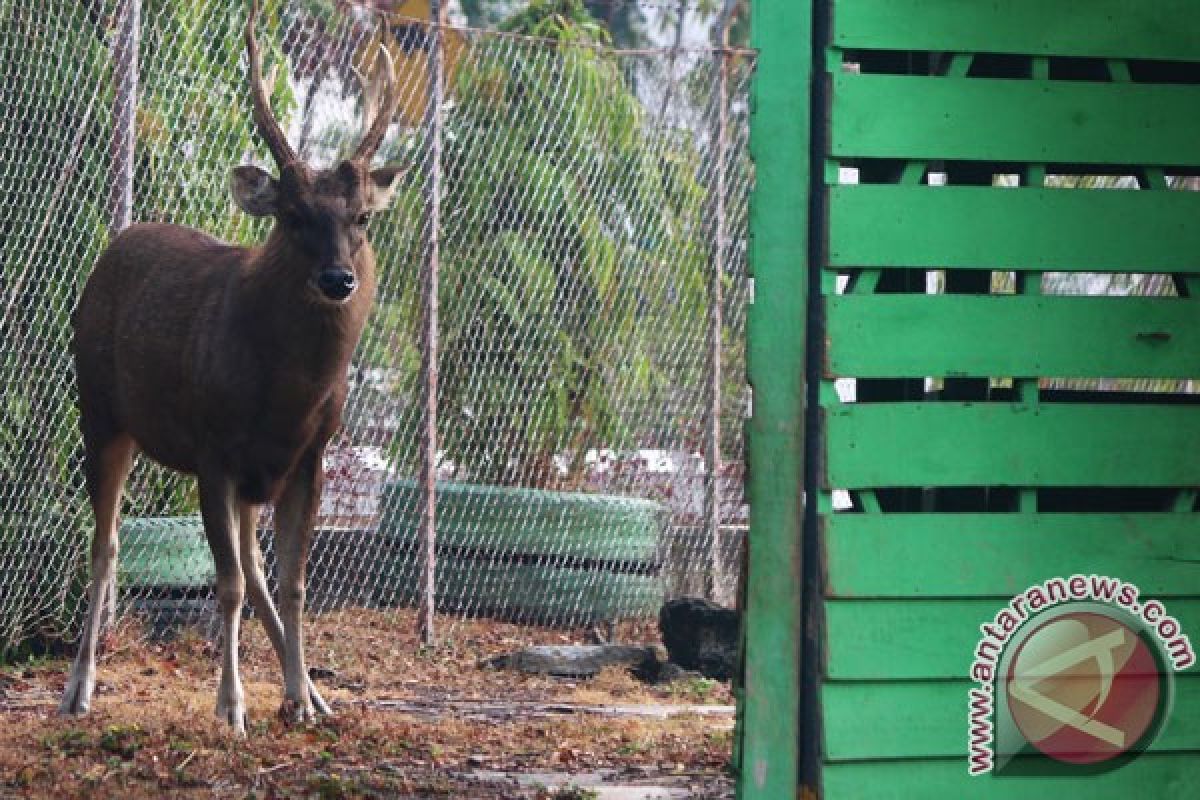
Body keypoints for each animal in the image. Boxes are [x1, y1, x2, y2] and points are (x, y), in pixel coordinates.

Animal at [58, 1, 408, 738]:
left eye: (362, 218)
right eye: (294, 215)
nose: (338, 279)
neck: (286, 393)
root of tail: (117, 244)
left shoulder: (308, 454)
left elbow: (292, 581)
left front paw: (300, 699)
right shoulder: (212, 447)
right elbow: (227, 584)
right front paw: (231, 707)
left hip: (246, 473)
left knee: (251, 560)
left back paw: (314, 697)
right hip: (99, 408)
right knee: (106, 545)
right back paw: (78, 691)